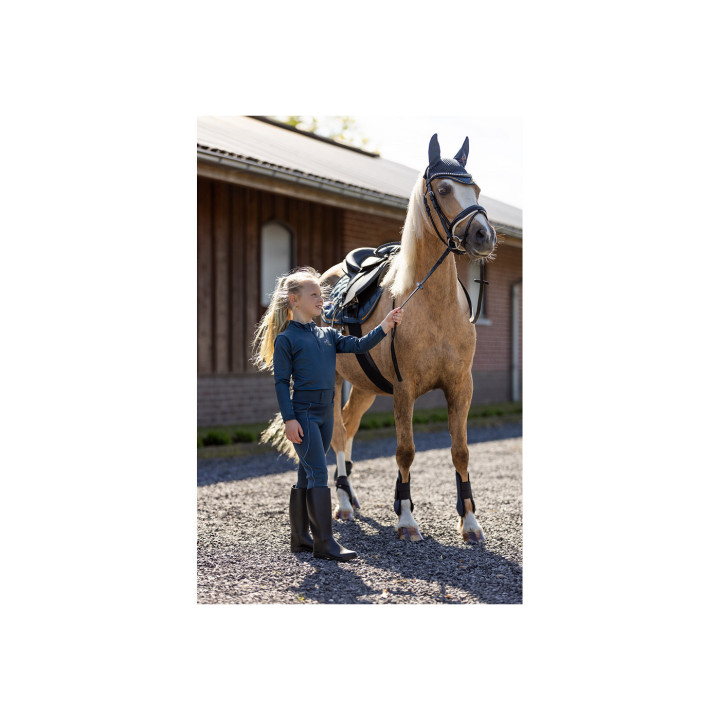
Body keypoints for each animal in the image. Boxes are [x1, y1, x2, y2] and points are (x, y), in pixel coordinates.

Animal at [262, 133, 497, 543]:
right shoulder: (404, 390)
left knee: (348, 426)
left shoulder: (460, 387)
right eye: (444, 188)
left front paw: (469, 522)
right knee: (338, 433)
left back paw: (349, 494)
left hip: (364, 387)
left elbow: (461, 451)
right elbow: (405, 451)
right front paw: (406, 518)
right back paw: (341, 503)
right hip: (334, 381)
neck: (431, 305)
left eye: (477, 188)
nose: (485, 235)